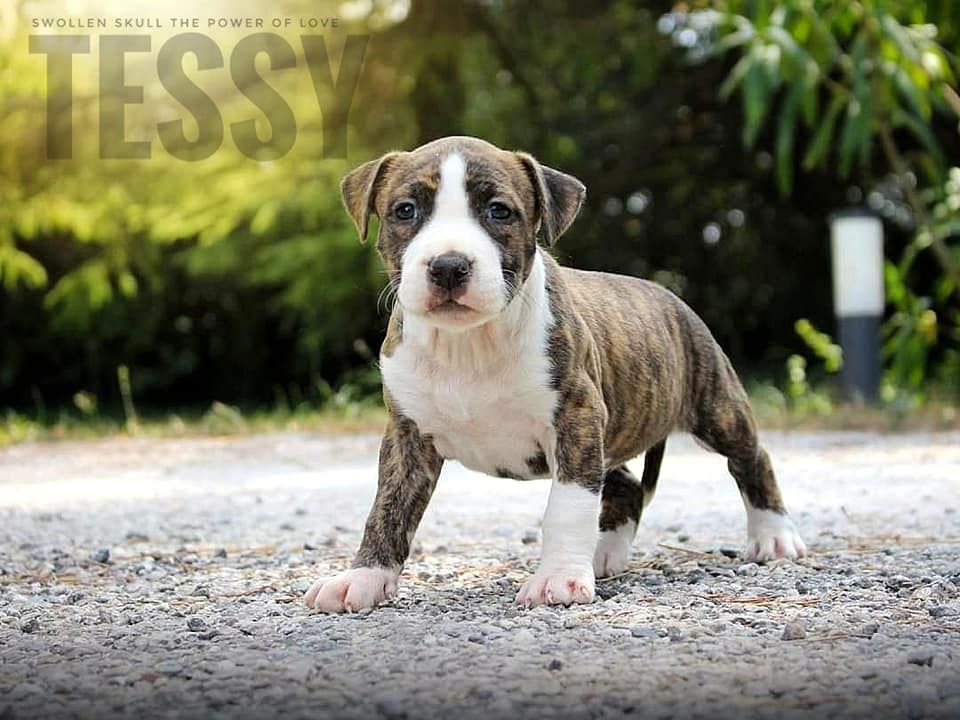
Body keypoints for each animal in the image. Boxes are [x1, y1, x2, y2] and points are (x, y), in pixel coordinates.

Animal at [304, 136, 806, 613]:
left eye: (499, 210)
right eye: (405, 210)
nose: (448, 265)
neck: (469, 344)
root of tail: (668, 294)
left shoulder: (576, 419)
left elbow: (567, 506)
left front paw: (558, 579)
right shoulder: (407, 438)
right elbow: (387, 509)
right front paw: (363, 579)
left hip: (715, 406)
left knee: (751, 459)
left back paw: (773, 536)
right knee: (627, 487)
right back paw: (604, 554)